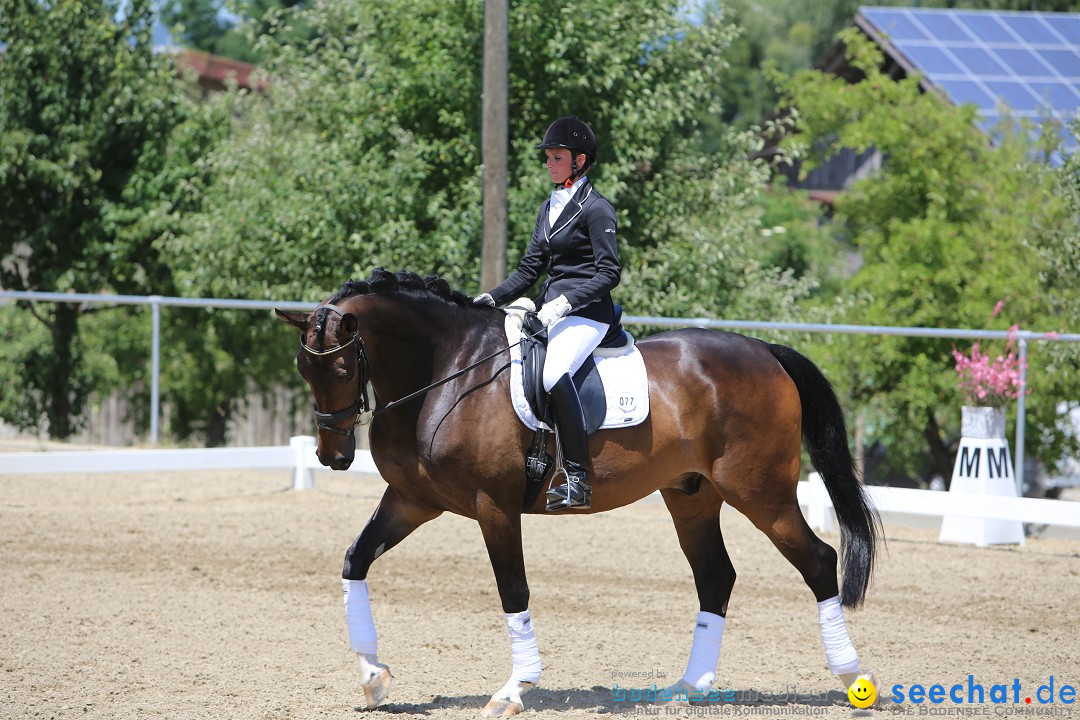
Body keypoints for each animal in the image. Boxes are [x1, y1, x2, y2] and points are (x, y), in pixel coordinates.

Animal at [276, 268, 876, 716]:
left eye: (341, 367)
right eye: (304, 367)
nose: (333, 456)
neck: (446, 372)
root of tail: (766, 352)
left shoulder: (494, 507)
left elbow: (513, 591)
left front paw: (513, 690)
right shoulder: (411, 501)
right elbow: (355, 560)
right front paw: (373, 677)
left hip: (760, 491)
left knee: (818, 560)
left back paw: (852, 678)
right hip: (692, 495)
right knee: (715, 577)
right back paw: (689, 687)